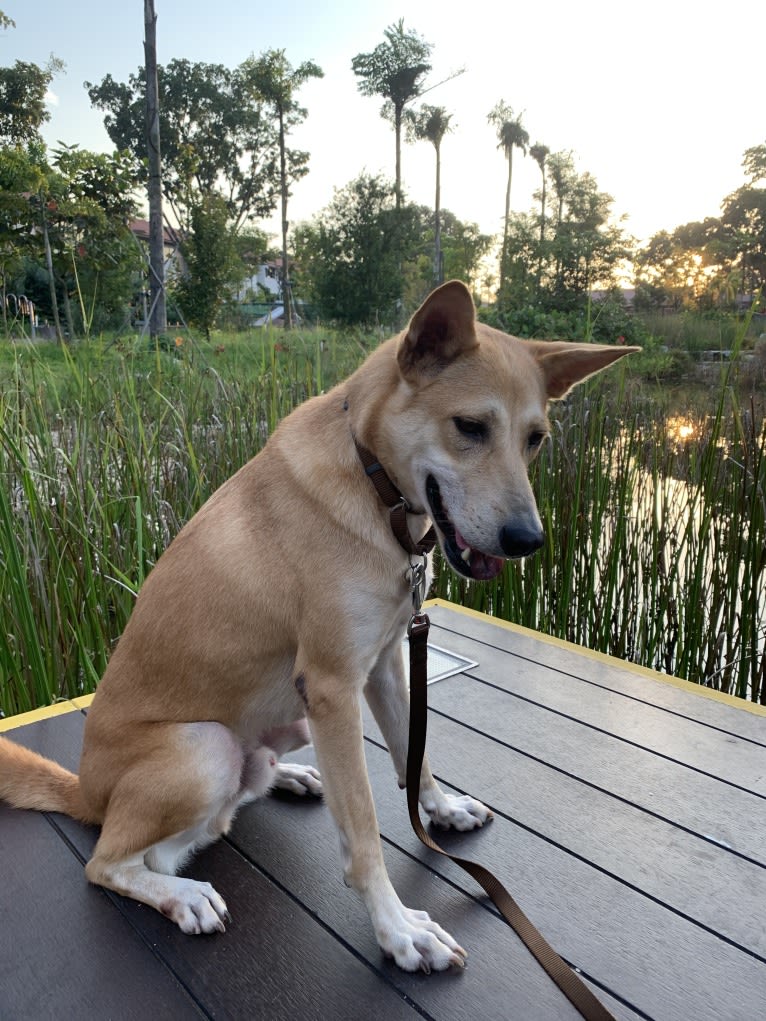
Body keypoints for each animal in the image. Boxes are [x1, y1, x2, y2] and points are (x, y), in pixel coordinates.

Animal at [0, 281, 637, 971]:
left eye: (536, 438)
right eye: (470, 427)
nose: (527, 540)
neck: (373, 484)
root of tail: (87, 792)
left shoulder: (385, 662)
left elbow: (415, 754)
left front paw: (440, 811)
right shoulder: (334, 687)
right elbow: (363, 829)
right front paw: (398, 929)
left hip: (285, 726)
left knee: (218, 810)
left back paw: (288, 778)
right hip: (205, 748)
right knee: (114, 861)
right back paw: (183, 895)